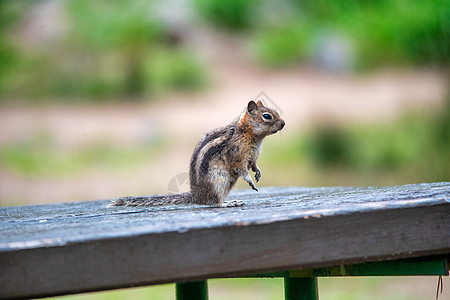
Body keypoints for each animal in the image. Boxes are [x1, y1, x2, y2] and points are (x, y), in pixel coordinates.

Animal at [109, 99, 284, 207]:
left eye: (275, 111)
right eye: (267, 116)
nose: (283, 123)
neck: (249, 134)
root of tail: (195, 196)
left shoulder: (253, 157)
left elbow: (254, 165)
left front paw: (258, 173)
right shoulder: (236, 156)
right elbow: (241, 169)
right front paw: (250, 181)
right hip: (217, 183)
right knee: (213, 202)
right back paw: (229, 203)